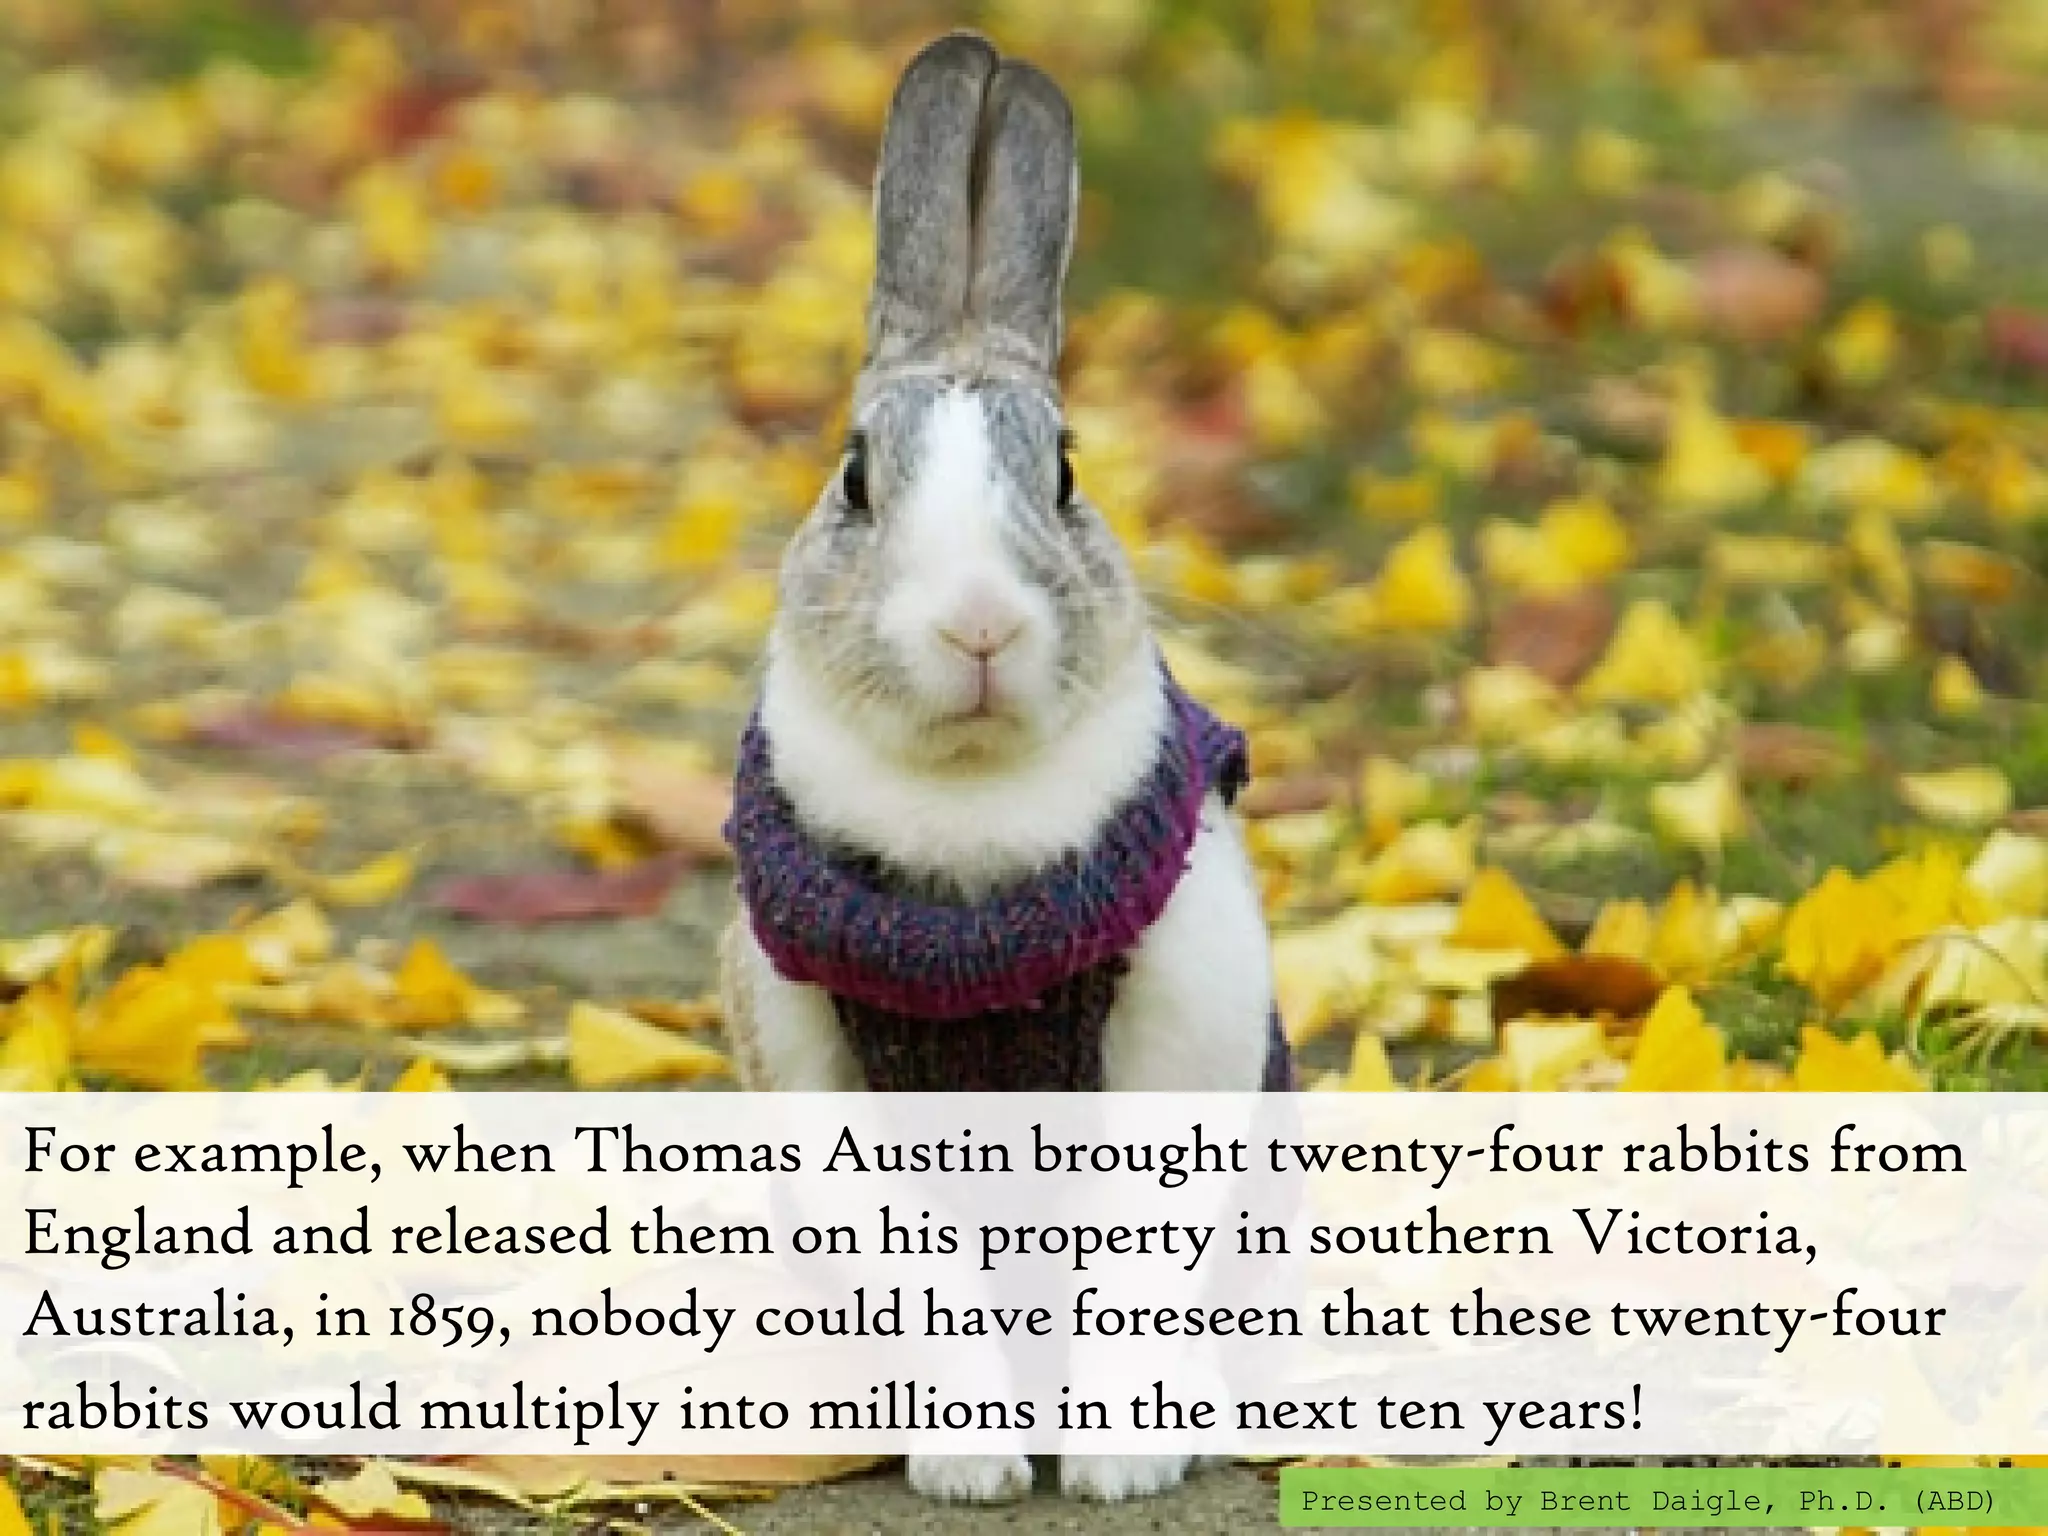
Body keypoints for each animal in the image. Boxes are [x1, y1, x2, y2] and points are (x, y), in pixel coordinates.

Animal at [720, 30, 1285, 1504]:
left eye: (1070, 475)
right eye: (854, 480)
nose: (979, 625)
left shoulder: (1179, 1048)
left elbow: (1134, 1273)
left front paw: (1119, 1466)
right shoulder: (821, 1081)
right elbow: (926, 1282)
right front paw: (970, 1468)